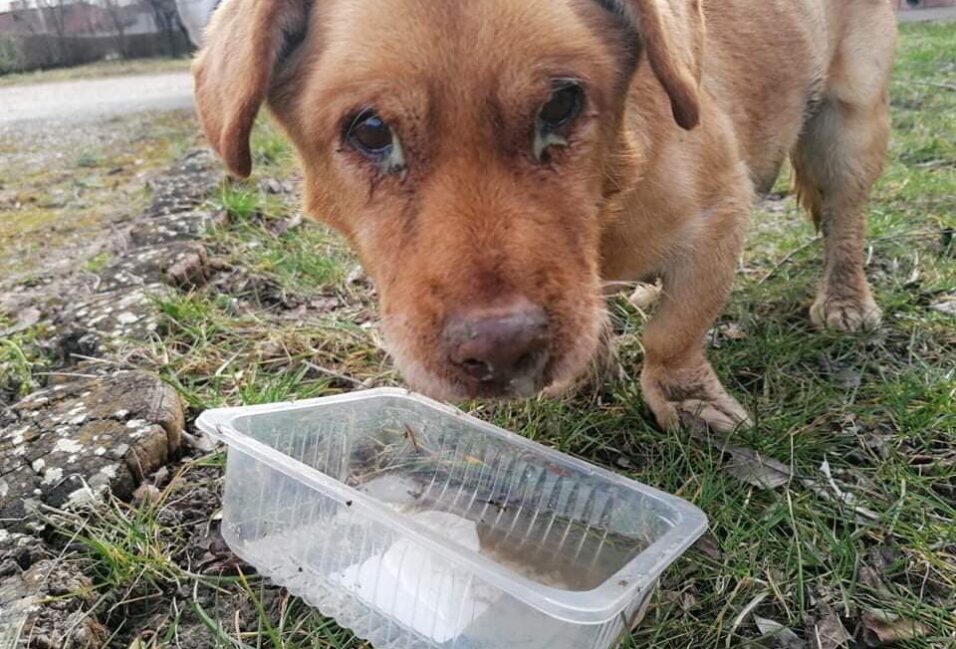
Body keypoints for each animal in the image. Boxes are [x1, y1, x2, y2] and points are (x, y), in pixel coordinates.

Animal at [192, 1, 896, 436]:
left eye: (561, 104)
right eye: (369, 131)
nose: (501, 350)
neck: (604, 216)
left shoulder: (721, 214)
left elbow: (675, 334)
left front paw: (688, 398)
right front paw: (590, 368)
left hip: (848, 125)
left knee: (845, 221)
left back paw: (845, 301)